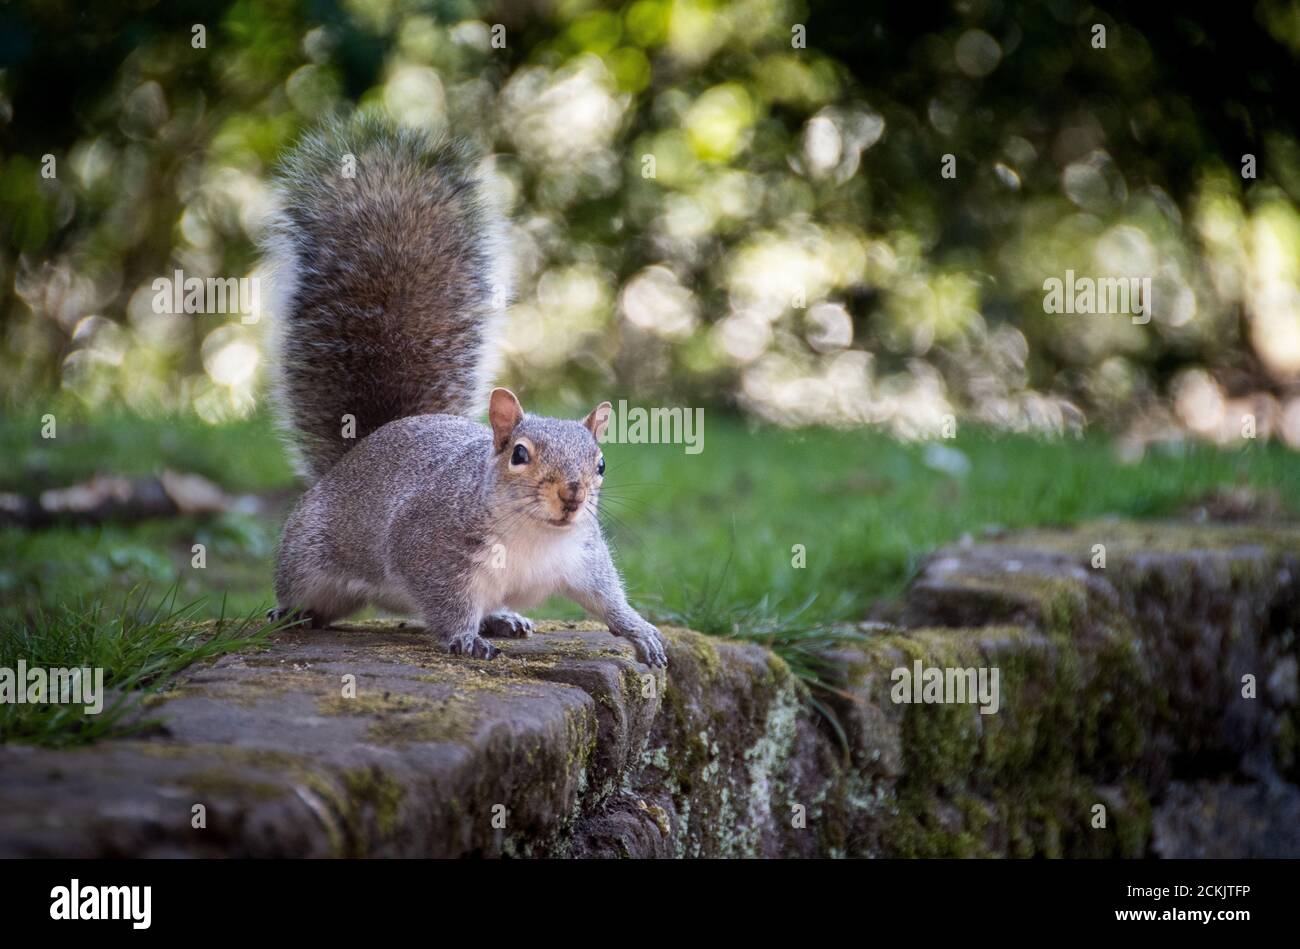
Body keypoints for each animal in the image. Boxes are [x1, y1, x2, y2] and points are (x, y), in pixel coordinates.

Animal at [259, 115, 667, 668]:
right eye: (519, 454)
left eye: (601, 463)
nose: (573, 494)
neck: (533, 534)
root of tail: (354, 453)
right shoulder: (429, 548)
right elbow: (446, 601)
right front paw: (463, 637)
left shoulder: (584, 559)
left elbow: (607, 599)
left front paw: (640, 630)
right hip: (307, 553)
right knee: (303, 590)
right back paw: (292, 612)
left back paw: (503, 617)